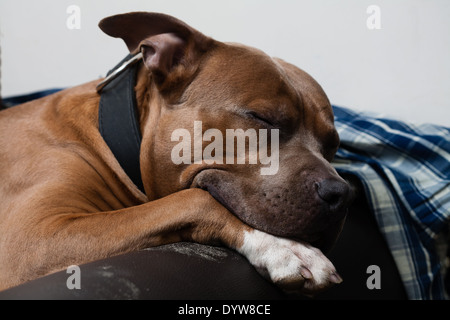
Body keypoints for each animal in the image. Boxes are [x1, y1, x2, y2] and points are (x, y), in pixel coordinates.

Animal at [0, 11, 350, 296]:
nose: (341, 193)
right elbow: (192, 199)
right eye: (263, 119)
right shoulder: (34, 241)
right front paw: (286, 249)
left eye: (333, 145)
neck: (109, 140)